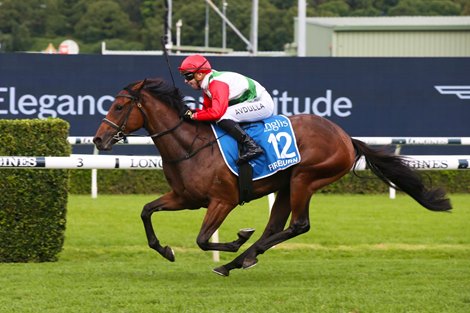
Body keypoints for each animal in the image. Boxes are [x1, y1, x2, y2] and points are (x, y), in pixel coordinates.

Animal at [92, 78, 452, 276]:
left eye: (120, 106)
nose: (98, 139)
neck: (190, 146)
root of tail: (346, 138)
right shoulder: (185, 198)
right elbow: (146, 211)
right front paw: (165, 249)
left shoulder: (223, 200)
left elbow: (203, 239)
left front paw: (237, 238)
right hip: (285, 185)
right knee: (276, 227)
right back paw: (240, 261)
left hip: (306, 178)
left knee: (298, 225)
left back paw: (239, 257)